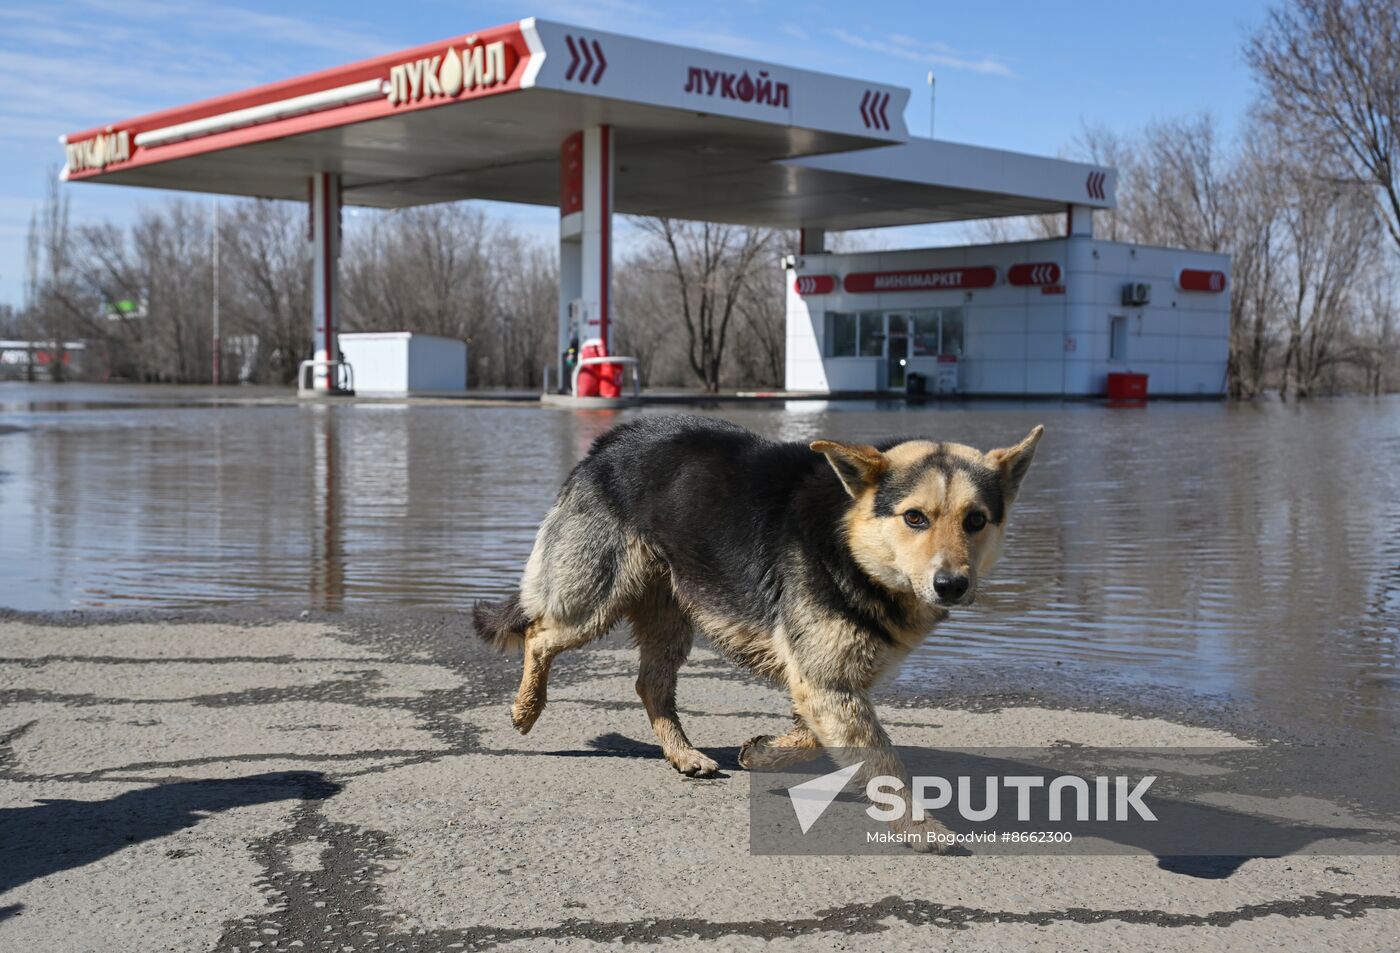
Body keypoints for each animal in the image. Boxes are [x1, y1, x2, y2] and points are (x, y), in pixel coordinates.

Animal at [476, 417, 1036, 839]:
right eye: (915, 518)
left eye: (976, 520)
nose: (952, 585)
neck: (848, 540)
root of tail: (612, 439)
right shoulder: (825, 681)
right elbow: (883, 760)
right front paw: (921, 827)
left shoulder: (826, 682)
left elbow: (819, 737)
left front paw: (764, 753)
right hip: (597, 600)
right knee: (539, 635)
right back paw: (526, 709)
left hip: (671, 611)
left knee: (650, 684)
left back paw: (684, 754)